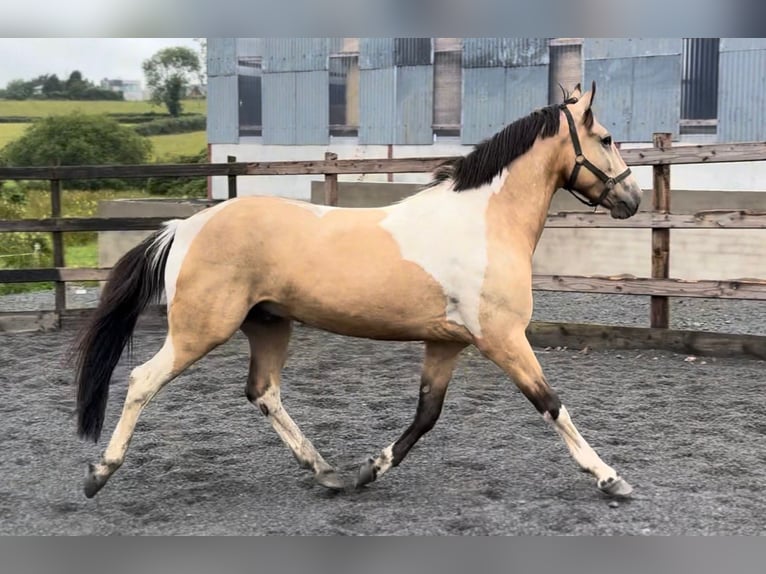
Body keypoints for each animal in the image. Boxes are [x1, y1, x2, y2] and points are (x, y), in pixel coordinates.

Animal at [76, 81, 640, 500]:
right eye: (607, 138)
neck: (484, 222)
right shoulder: (501, 337)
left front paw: (368, 470)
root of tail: (183, 228)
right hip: (200, 331)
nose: (631, 198)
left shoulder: (446, 343)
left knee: (263, 392)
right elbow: (551, 403)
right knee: (143, 380)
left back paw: (325, 470)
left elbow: (426, 415)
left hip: (268, 324)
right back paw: (99, 472)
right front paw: (610, 478)